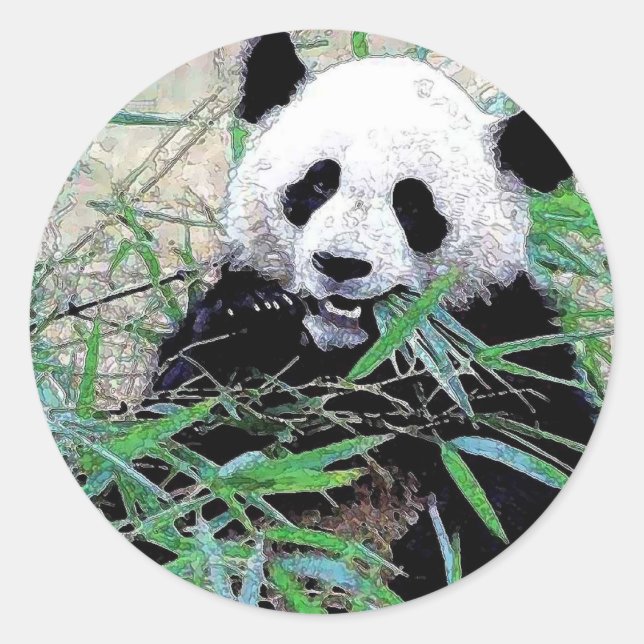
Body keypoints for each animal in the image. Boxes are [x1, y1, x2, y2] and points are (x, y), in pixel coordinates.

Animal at [151, 33, 595, 602]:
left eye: (413, 204)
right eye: (319, 183)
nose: (341, 264)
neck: (354, 355)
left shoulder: (496, 344)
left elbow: (525, 455)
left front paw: (428, 557)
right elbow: (175, 448)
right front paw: (254, 316)